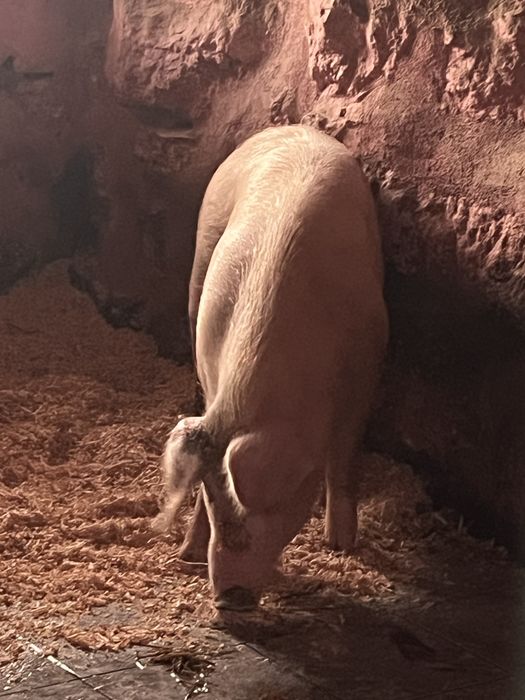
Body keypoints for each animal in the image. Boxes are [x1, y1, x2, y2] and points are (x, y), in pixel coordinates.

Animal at [153, 124, 388, 611]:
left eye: (267, 508)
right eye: (214, 503)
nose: (228, 598)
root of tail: (290, 128)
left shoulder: (369, 360)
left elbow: (343, 454)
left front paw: (341, 544)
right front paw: (187, 555)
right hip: (201, 256)